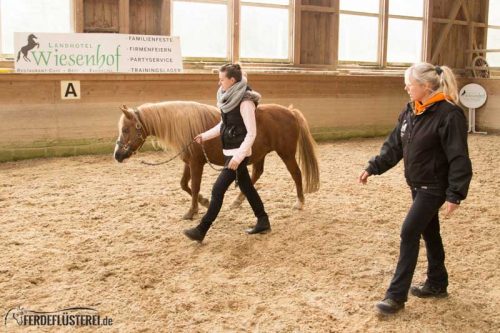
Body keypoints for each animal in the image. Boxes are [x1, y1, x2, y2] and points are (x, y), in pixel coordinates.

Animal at [114, 102, 320, 219]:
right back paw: (237, 201)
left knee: (296, 174)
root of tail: (290, 112)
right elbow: (184, 184)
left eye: (125, 129)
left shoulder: (196, 163)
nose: (117, 155)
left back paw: (300, 202)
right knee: (257, 174)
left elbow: (194, 185)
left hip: (286, 153)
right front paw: (204, 202)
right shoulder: (189, 162)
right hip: (259, 154)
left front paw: (192, 211)